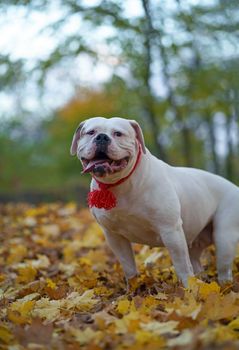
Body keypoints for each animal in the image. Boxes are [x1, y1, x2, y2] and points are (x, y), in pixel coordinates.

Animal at [70, 117, 239, 288]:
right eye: (91, 132)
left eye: (118, 134)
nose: (102, 137)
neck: (119, 185)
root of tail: (234, 186)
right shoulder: (114, 236)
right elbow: (128, 266)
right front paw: (132, 288)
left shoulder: (171, 231)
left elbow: (182, 266)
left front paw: (188, 289)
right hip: (197, 239)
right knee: (195, 260)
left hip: (224, 236)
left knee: (222, 265)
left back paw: (223, 285)